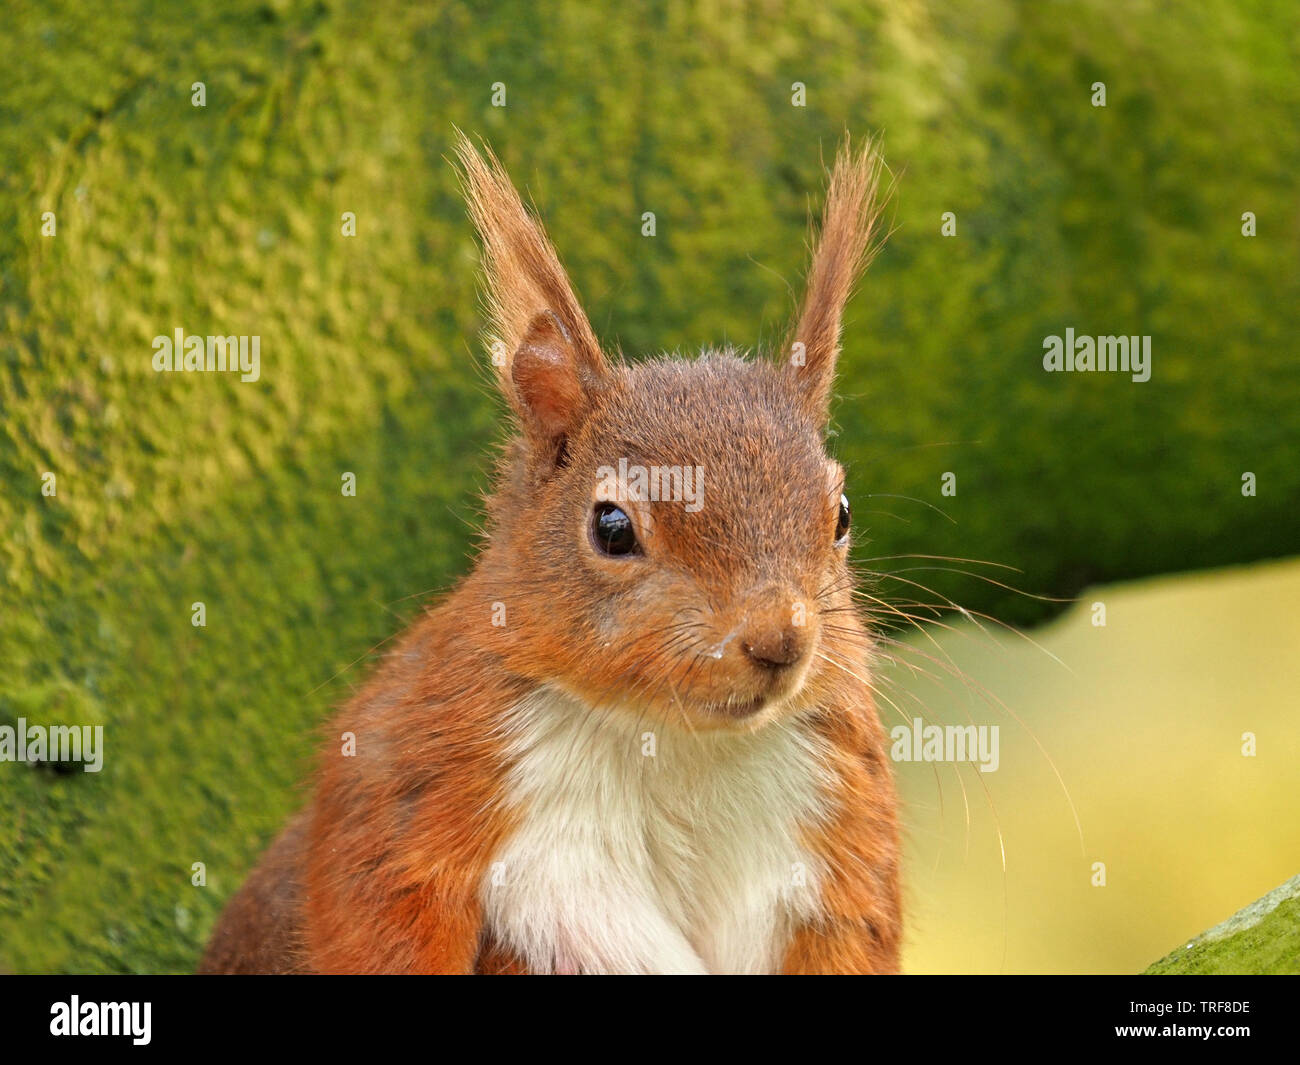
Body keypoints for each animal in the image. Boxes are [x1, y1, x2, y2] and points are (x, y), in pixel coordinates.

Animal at [197, 133, 899, 972]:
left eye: (842, 515)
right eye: (612, 527)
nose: (779, 639)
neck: (672, 737)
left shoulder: (837, 825)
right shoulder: (417, 769)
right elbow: (379, 914)